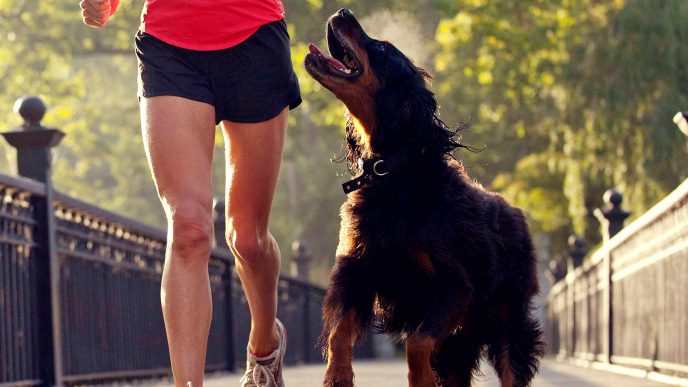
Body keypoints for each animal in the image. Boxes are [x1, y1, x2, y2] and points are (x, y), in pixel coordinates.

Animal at [306, 9, 544, 387]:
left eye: (382, 48)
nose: (343, 12)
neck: (393, 173)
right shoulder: (358, 270)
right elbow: (340, 332)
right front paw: (337, 375)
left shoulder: (454, 286)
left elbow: (417, 343)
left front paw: (421, 379)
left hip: (509, 321)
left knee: (510, 366)